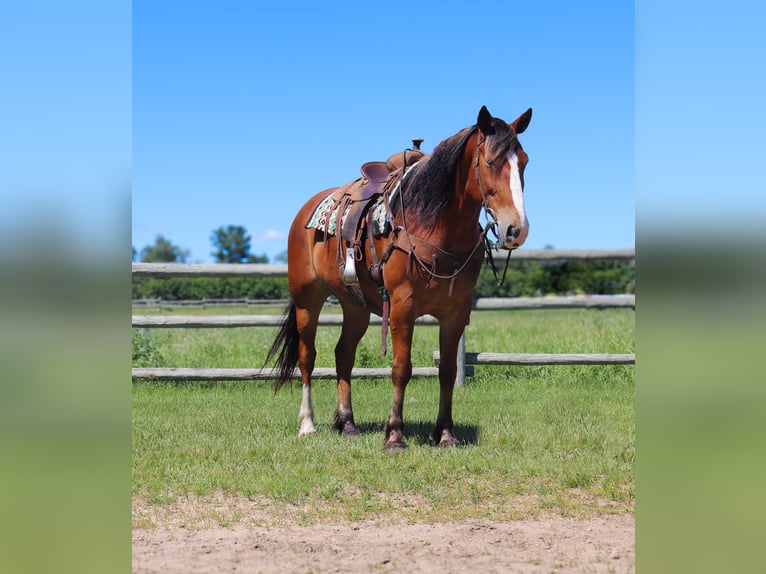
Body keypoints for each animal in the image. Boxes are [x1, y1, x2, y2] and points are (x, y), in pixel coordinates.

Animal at [268, 106, 532, 452]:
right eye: (490, 161)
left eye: (524, 161)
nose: (517, 229)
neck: (432, 225)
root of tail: (307, 210)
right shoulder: (402, 307)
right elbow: (401, 368)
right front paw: (394, 435)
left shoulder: (456, 312)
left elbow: (448, 371)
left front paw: (445, 434)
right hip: (306, 300)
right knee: (307, 357)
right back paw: (307, 424)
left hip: (355, 306)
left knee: (343, 354)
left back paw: (347, 423)